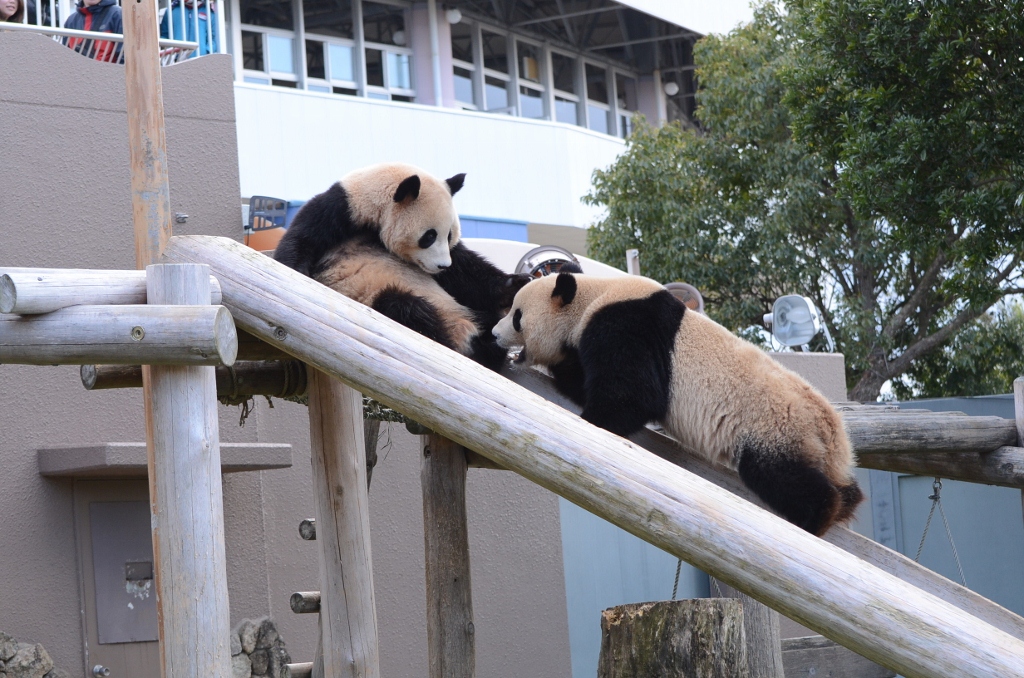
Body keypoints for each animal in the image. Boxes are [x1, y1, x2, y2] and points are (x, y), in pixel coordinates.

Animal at [272, 162, 528, 372]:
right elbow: (300, 241)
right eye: (429, 236)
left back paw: (490, 343)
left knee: (488, 319)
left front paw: (515, 283)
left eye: (449, 235)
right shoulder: (340, 210)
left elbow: (467, 271)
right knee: (405, 307)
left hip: (466, 309)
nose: (442, 265)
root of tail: (465, 333)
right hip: (379, 297)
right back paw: (453, 343)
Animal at [491, 268, 860, 540]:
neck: (591, 296)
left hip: (773, 428)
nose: (494, 333)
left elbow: (635, 394)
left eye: (517, 316)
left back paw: (817, 516)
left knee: (779, 474)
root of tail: (832, 433)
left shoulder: (624, 325)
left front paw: (595, 419)